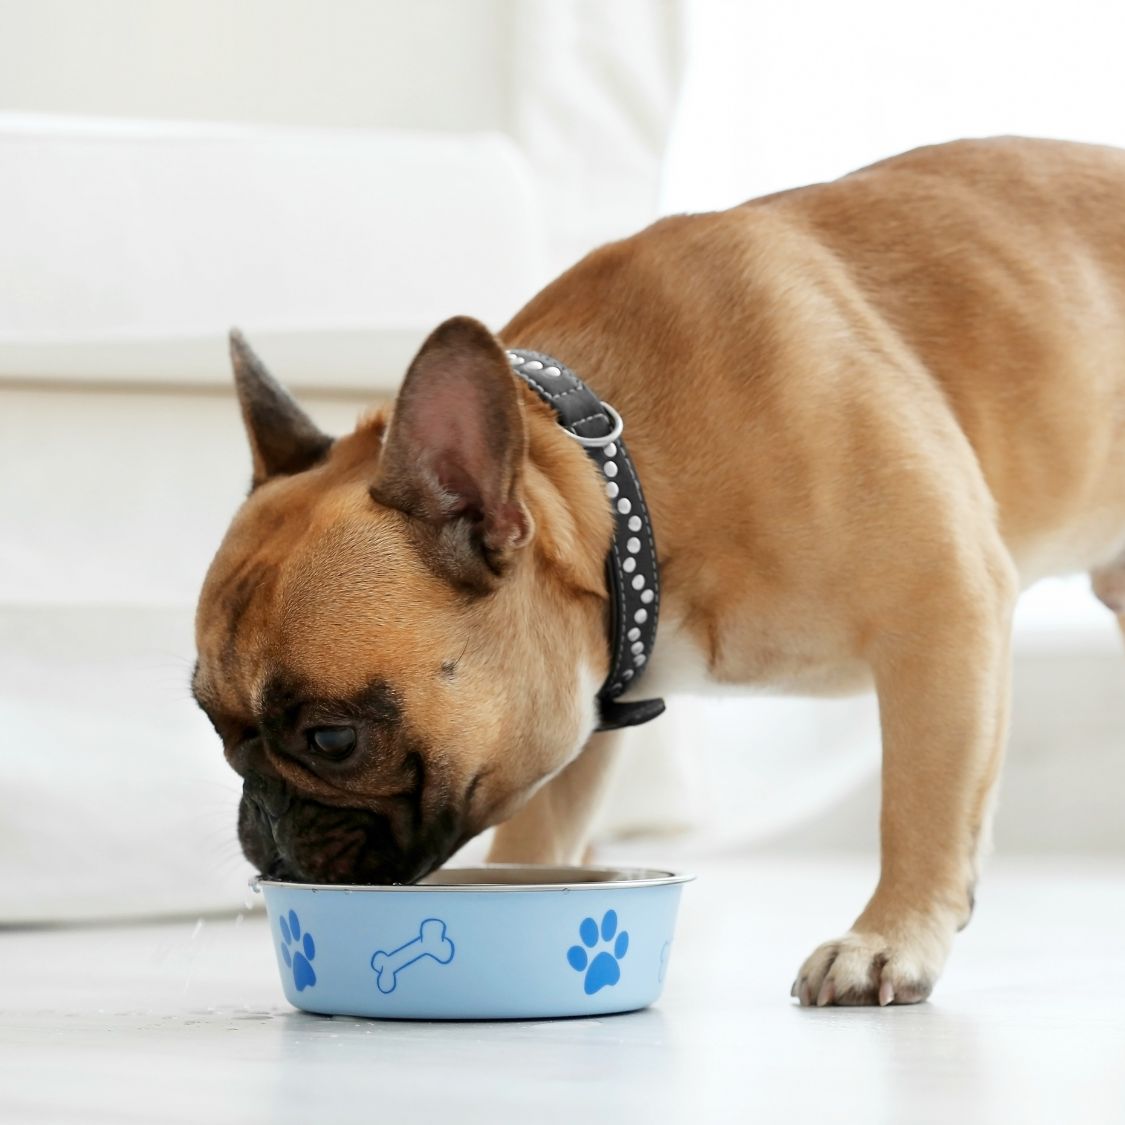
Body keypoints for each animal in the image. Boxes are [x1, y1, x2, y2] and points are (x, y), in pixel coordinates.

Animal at [193, 136, 1125, 1008]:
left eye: (333, 739)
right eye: (212, 725)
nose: (259, 817)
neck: (623, 484)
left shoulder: (943, 611)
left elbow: (922, 802)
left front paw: (886, 938)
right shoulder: (573, 702)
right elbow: (538, 835)